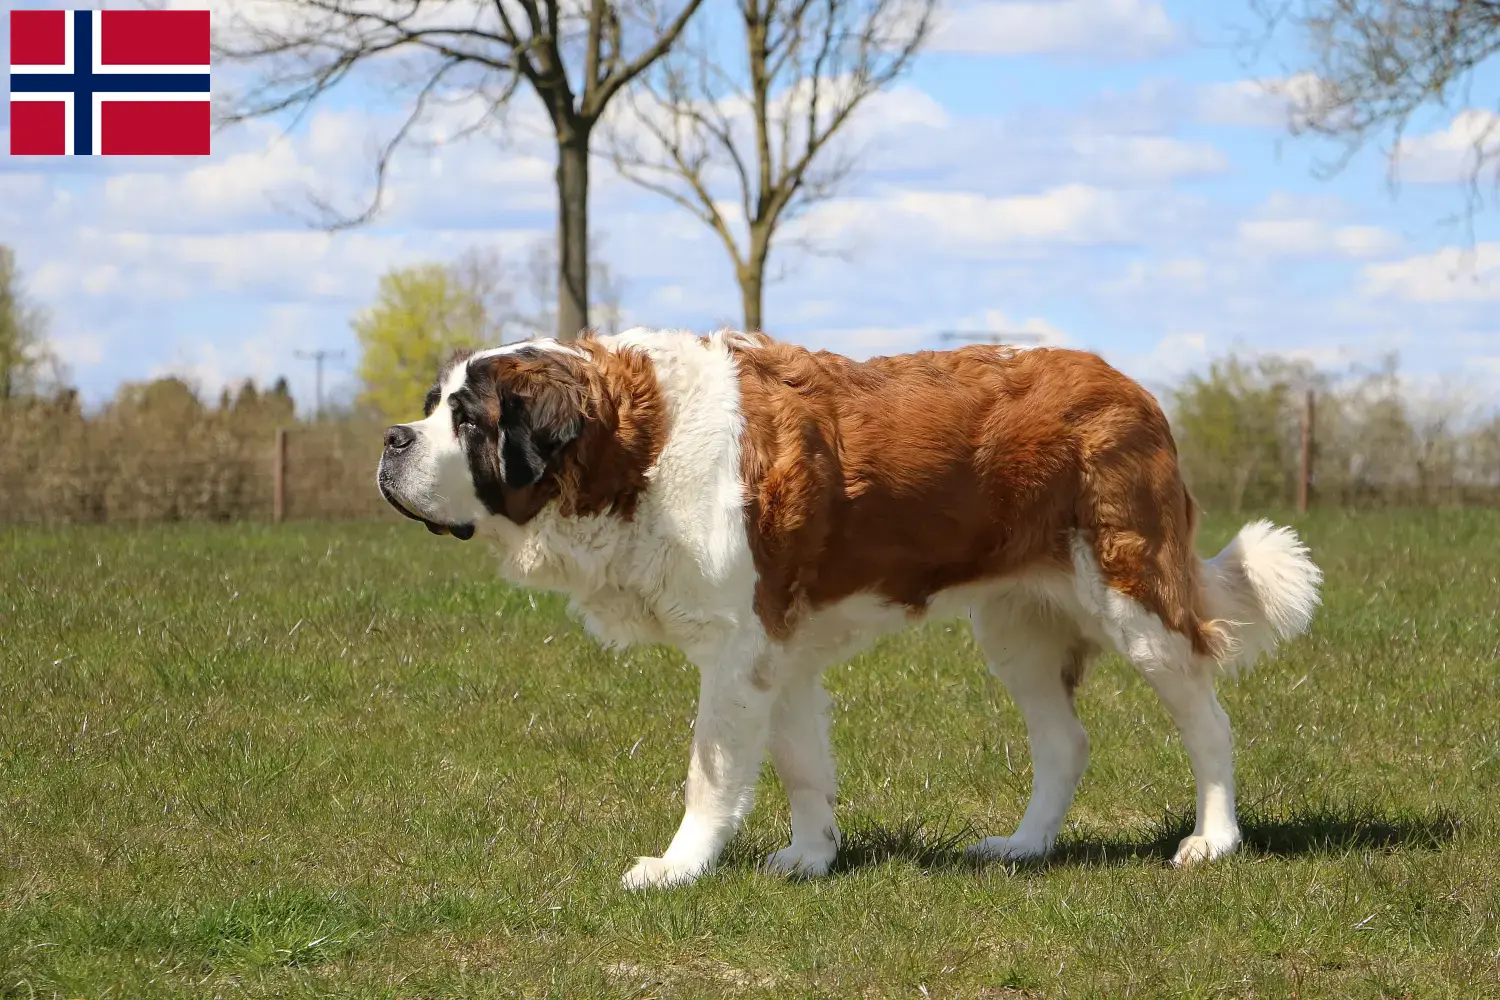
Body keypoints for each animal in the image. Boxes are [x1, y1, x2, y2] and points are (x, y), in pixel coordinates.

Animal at [375, 328, 1326, 893]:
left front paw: (679, 866)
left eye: (467, 419)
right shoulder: (777, 651)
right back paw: (1022, 848)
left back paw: (1214, 839)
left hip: (1136, 597)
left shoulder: (736, 650)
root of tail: (1135, 388)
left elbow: (710, 771)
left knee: (1207, 720)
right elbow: (800, 763)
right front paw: (811, 856)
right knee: (1065, 741)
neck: (635, 449)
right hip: (1014, 627)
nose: (390, 440)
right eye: (430, 409)